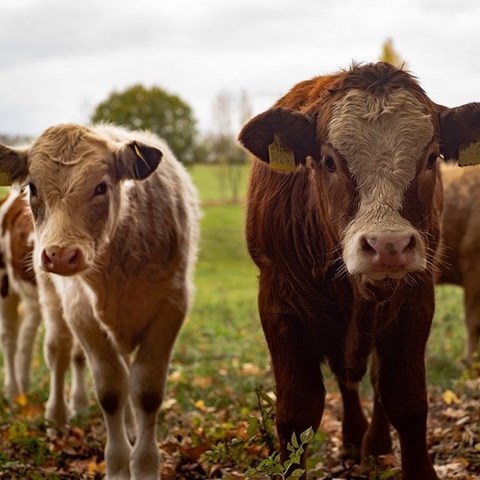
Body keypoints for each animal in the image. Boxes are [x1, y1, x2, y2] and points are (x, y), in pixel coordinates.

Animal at [242, 62, 480, 478]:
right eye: (329, 161)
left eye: (431, 157)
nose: (388, 246)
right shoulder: (277, 305)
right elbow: (297, 413)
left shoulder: (417, 301)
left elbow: (406, 400)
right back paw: (354, 440)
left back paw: (375, 445)